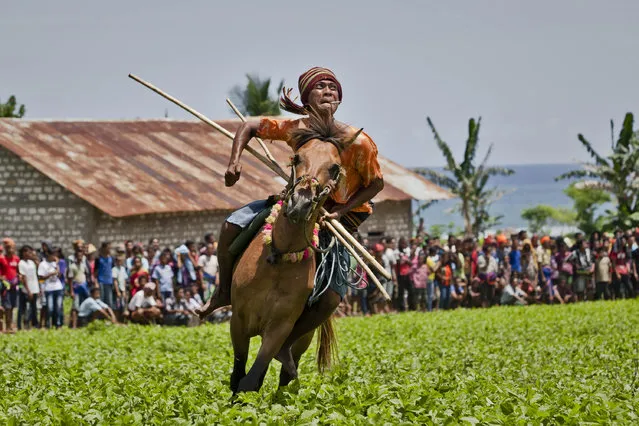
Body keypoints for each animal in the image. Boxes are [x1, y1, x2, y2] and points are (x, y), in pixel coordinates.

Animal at [230, 115, 360, 392]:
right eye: (297, 157)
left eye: (335, 168)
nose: (300, 203)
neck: (279, 258)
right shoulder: (238, 320)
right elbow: (238, 376)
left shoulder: (279, 329)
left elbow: (251, 379)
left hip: (304, 337)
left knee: (286, 371)